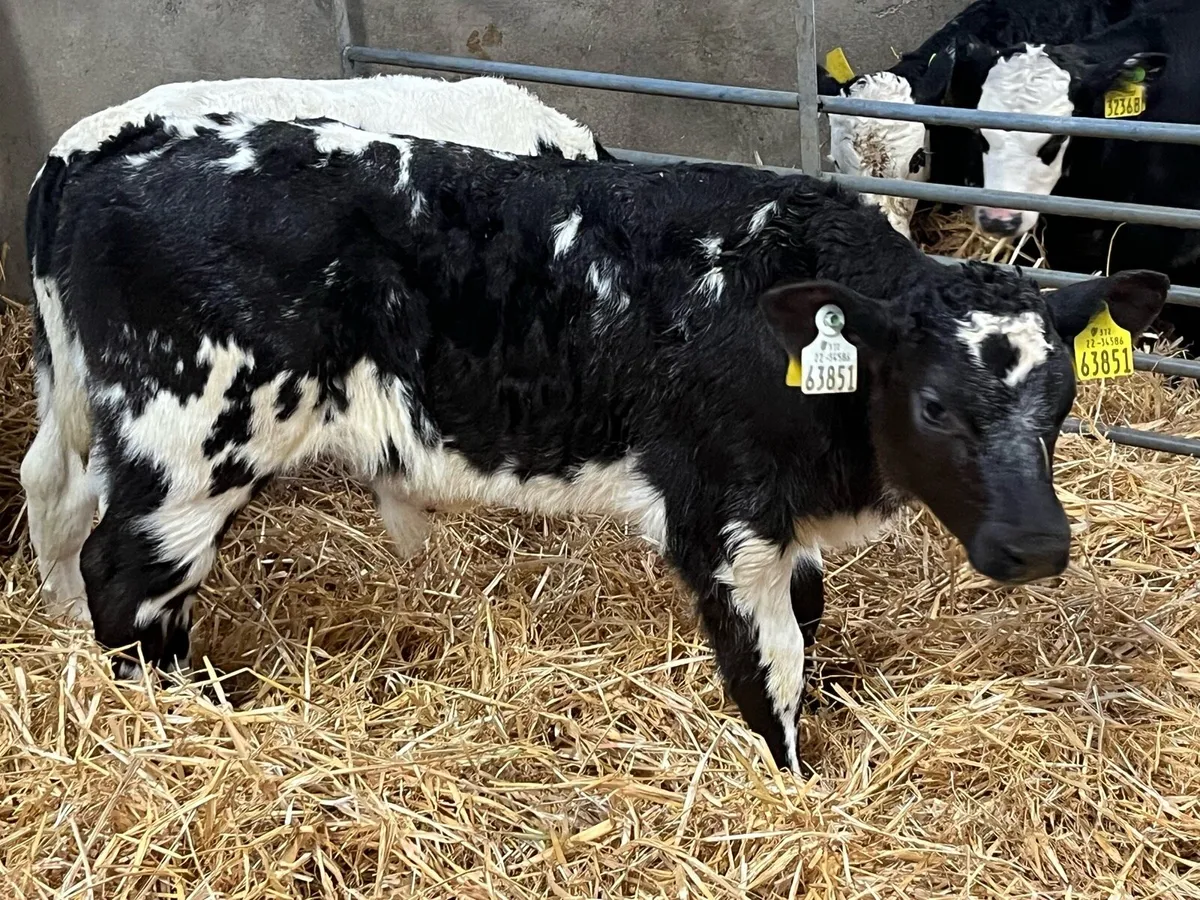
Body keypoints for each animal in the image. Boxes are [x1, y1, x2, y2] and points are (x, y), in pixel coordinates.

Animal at [21, 112, 1168, 770]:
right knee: (128, 573)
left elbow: (810, 619)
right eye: (932, 404)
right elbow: (772, 661)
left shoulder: (781, 523)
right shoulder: (723, 518)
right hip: (192, 439)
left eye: (1065, 396)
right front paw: (795, 777)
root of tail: (108, 158)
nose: (1037, 547)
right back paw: (185, 720)